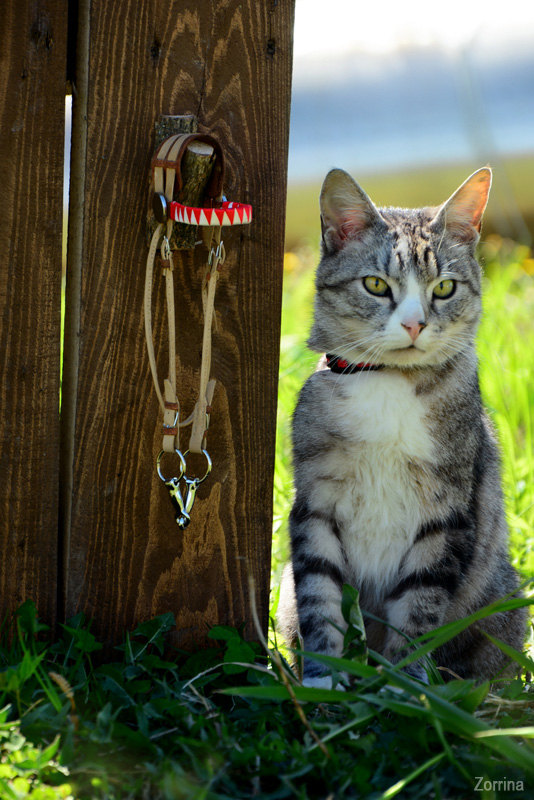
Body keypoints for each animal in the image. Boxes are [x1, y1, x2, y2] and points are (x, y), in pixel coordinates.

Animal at [278, 167, 528, 688]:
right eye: (375, 284)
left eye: (444, 289)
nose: (414, 324)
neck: (388, 381)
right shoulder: (315, 503)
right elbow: (320, 595)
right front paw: (323, 681)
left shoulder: (446, 512)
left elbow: (419, 605)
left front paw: (403, 687)